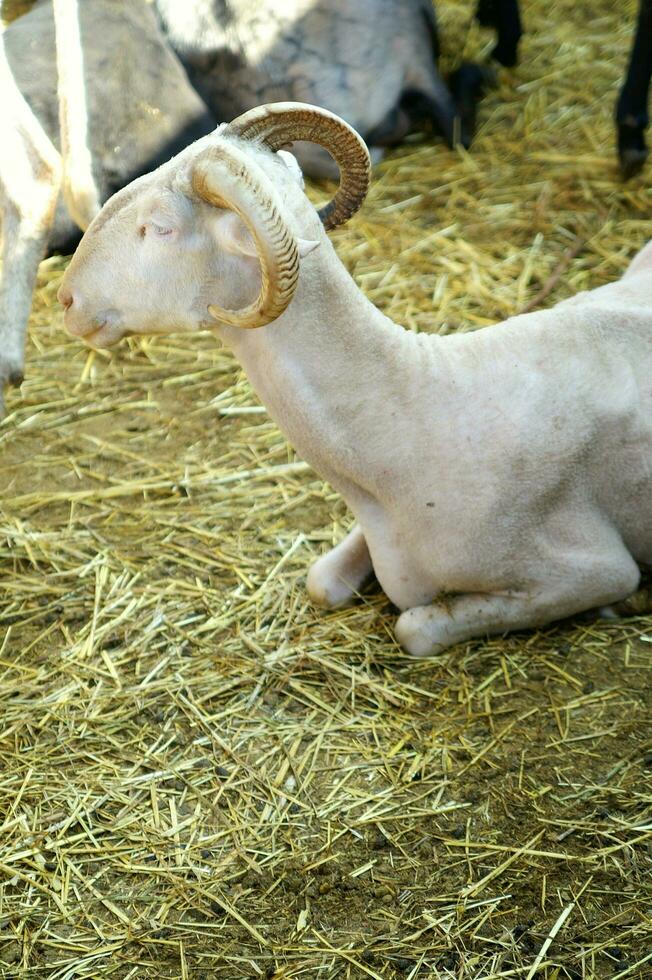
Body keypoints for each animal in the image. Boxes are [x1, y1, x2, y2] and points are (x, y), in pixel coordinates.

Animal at [58, 103, 652, 660]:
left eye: (160, 227)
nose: (66, 299)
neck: (414, 413)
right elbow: (321, 582)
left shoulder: (594, 567)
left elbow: (415, 628)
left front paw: (618, 606)